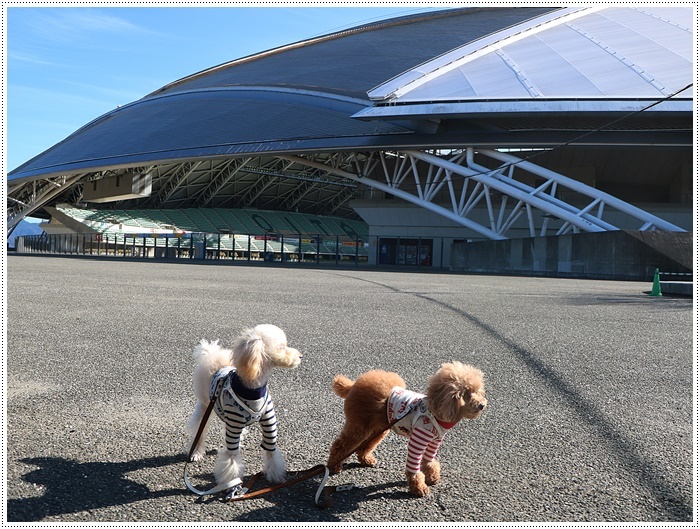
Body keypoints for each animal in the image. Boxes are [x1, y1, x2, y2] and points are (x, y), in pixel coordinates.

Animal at [185, 324, 302, 488]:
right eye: (281, 347)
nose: (300, 356)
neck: (252, 391)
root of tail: (211, 353)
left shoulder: (268, 423)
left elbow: (271, 452)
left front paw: (276, 478)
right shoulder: (234, 424)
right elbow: (231, 458)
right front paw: (231, 484)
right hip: (205, 406)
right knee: (200, 431)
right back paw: (196, 452)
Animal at [326, 360, 486, 498]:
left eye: (477, 390)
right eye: (466, 394)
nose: (482, 405)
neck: (435, 410)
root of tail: (353, 385)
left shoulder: (434, 441)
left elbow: (429, 461)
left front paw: (431, 476)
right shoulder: (418, 440)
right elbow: (414, 469)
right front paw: (418, 487)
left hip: (378, 427)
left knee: (365, 445)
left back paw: (366, 459)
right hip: (359, 425)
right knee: (340, 445)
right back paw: (334, 466)